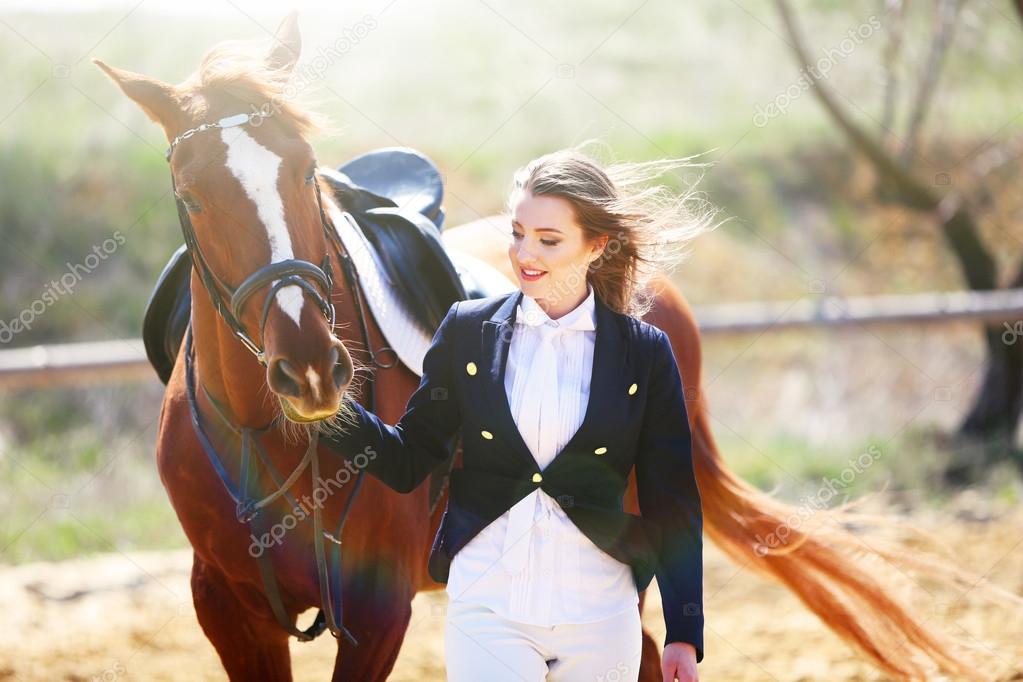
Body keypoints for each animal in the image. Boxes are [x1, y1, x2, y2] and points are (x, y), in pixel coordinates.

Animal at [96, 13, 998, 682]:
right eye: (190, 196)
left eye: (306, 170)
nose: (313, 370)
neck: (276, 437)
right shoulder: (228, 609)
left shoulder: (378, 611)